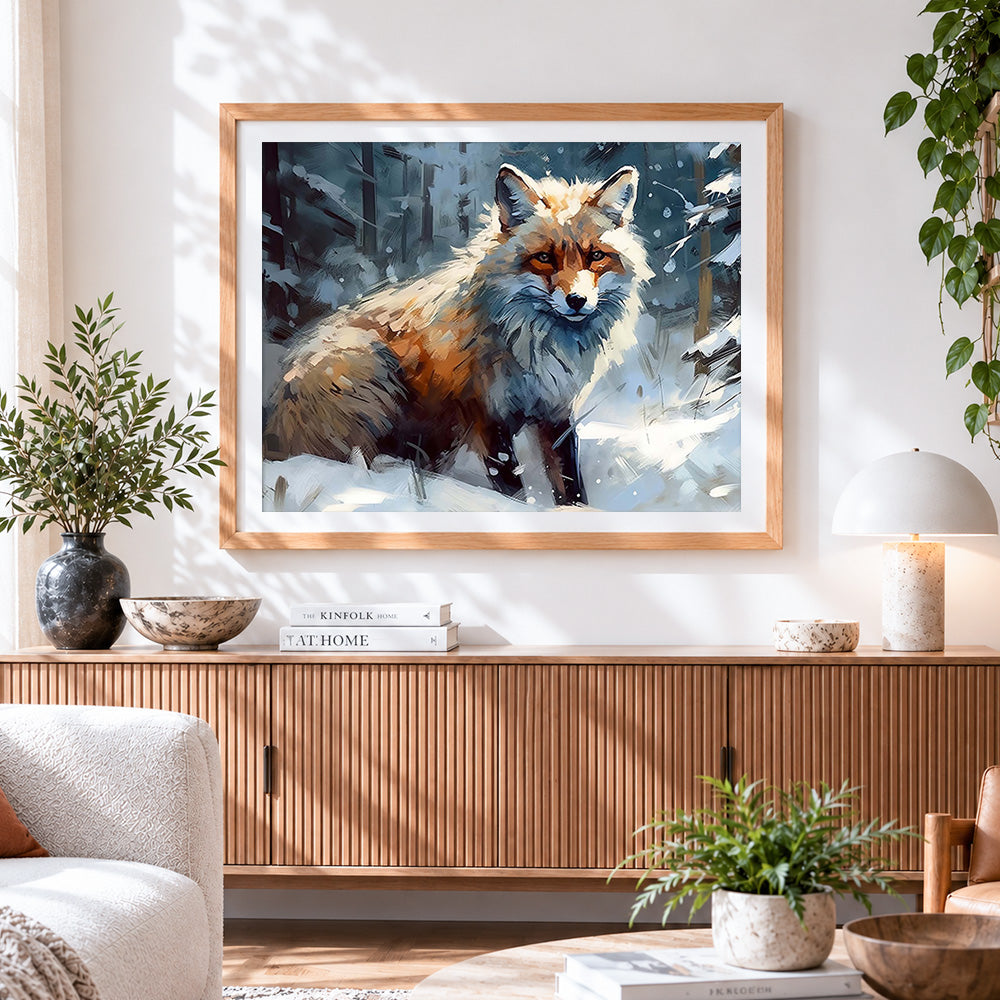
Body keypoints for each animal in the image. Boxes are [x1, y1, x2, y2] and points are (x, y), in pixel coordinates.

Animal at [264, 162, 653, 506]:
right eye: (544, 258)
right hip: (372, 370)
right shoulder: (485, 413)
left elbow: (570, 484)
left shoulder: (556, 411)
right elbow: (511, 486)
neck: (536, 346)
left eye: (596, 256)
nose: (577, 301)